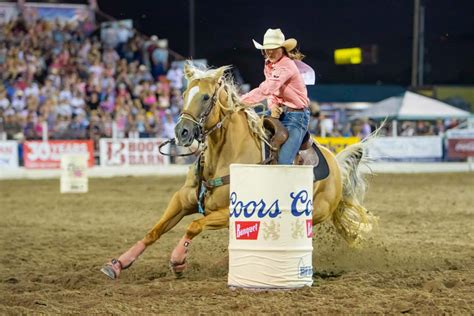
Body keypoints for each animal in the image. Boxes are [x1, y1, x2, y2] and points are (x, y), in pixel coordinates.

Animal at [102, 63, 376, 280]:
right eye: (184, 93)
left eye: (205, 97)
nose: (182, 132)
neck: (224, 157)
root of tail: (336, 165)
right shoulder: (181, 200)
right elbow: (154, 231)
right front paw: (117, 265)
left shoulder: (227, 213)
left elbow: (194, 226)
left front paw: (178, 260)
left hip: (311, 213)